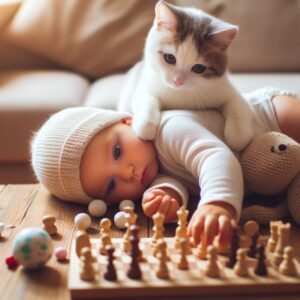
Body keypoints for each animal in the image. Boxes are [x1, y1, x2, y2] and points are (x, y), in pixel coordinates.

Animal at [118, 0, 254, 150]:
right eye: (170, 58)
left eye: (199, 68)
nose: (178, 81)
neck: (181, 94)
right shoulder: (145, 84)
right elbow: (145, 99)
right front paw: (146, 126)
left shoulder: (224, 88)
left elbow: (238, 104)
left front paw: (238, 136)